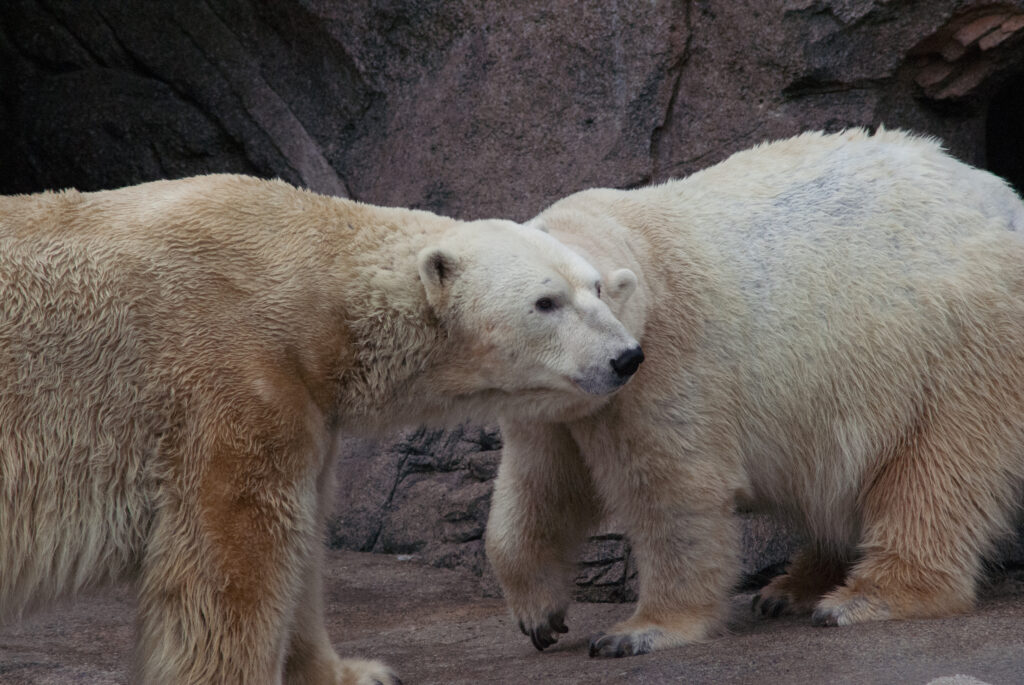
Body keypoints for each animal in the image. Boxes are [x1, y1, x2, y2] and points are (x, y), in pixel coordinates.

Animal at [0, 174, 642, 684]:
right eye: (545, 302)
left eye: (596, 286)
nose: (626, 356)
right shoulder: (230, 374)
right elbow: (233, 553)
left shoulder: (306, 397)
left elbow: (302, 531)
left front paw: (356, 673)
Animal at [483, 128, 1024, 658]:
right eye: (545, 303)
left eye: (594, 292)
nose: (618, 357)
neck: (636, 242)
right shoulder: (546, 404)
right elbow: (541, 485)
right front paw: (539, 616)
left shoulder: (671, 355)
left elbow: (675, 491)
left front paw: (636, 632)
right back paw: (791, 587)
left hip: (955, 341)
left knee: (939, 470)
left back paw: (864, 597)